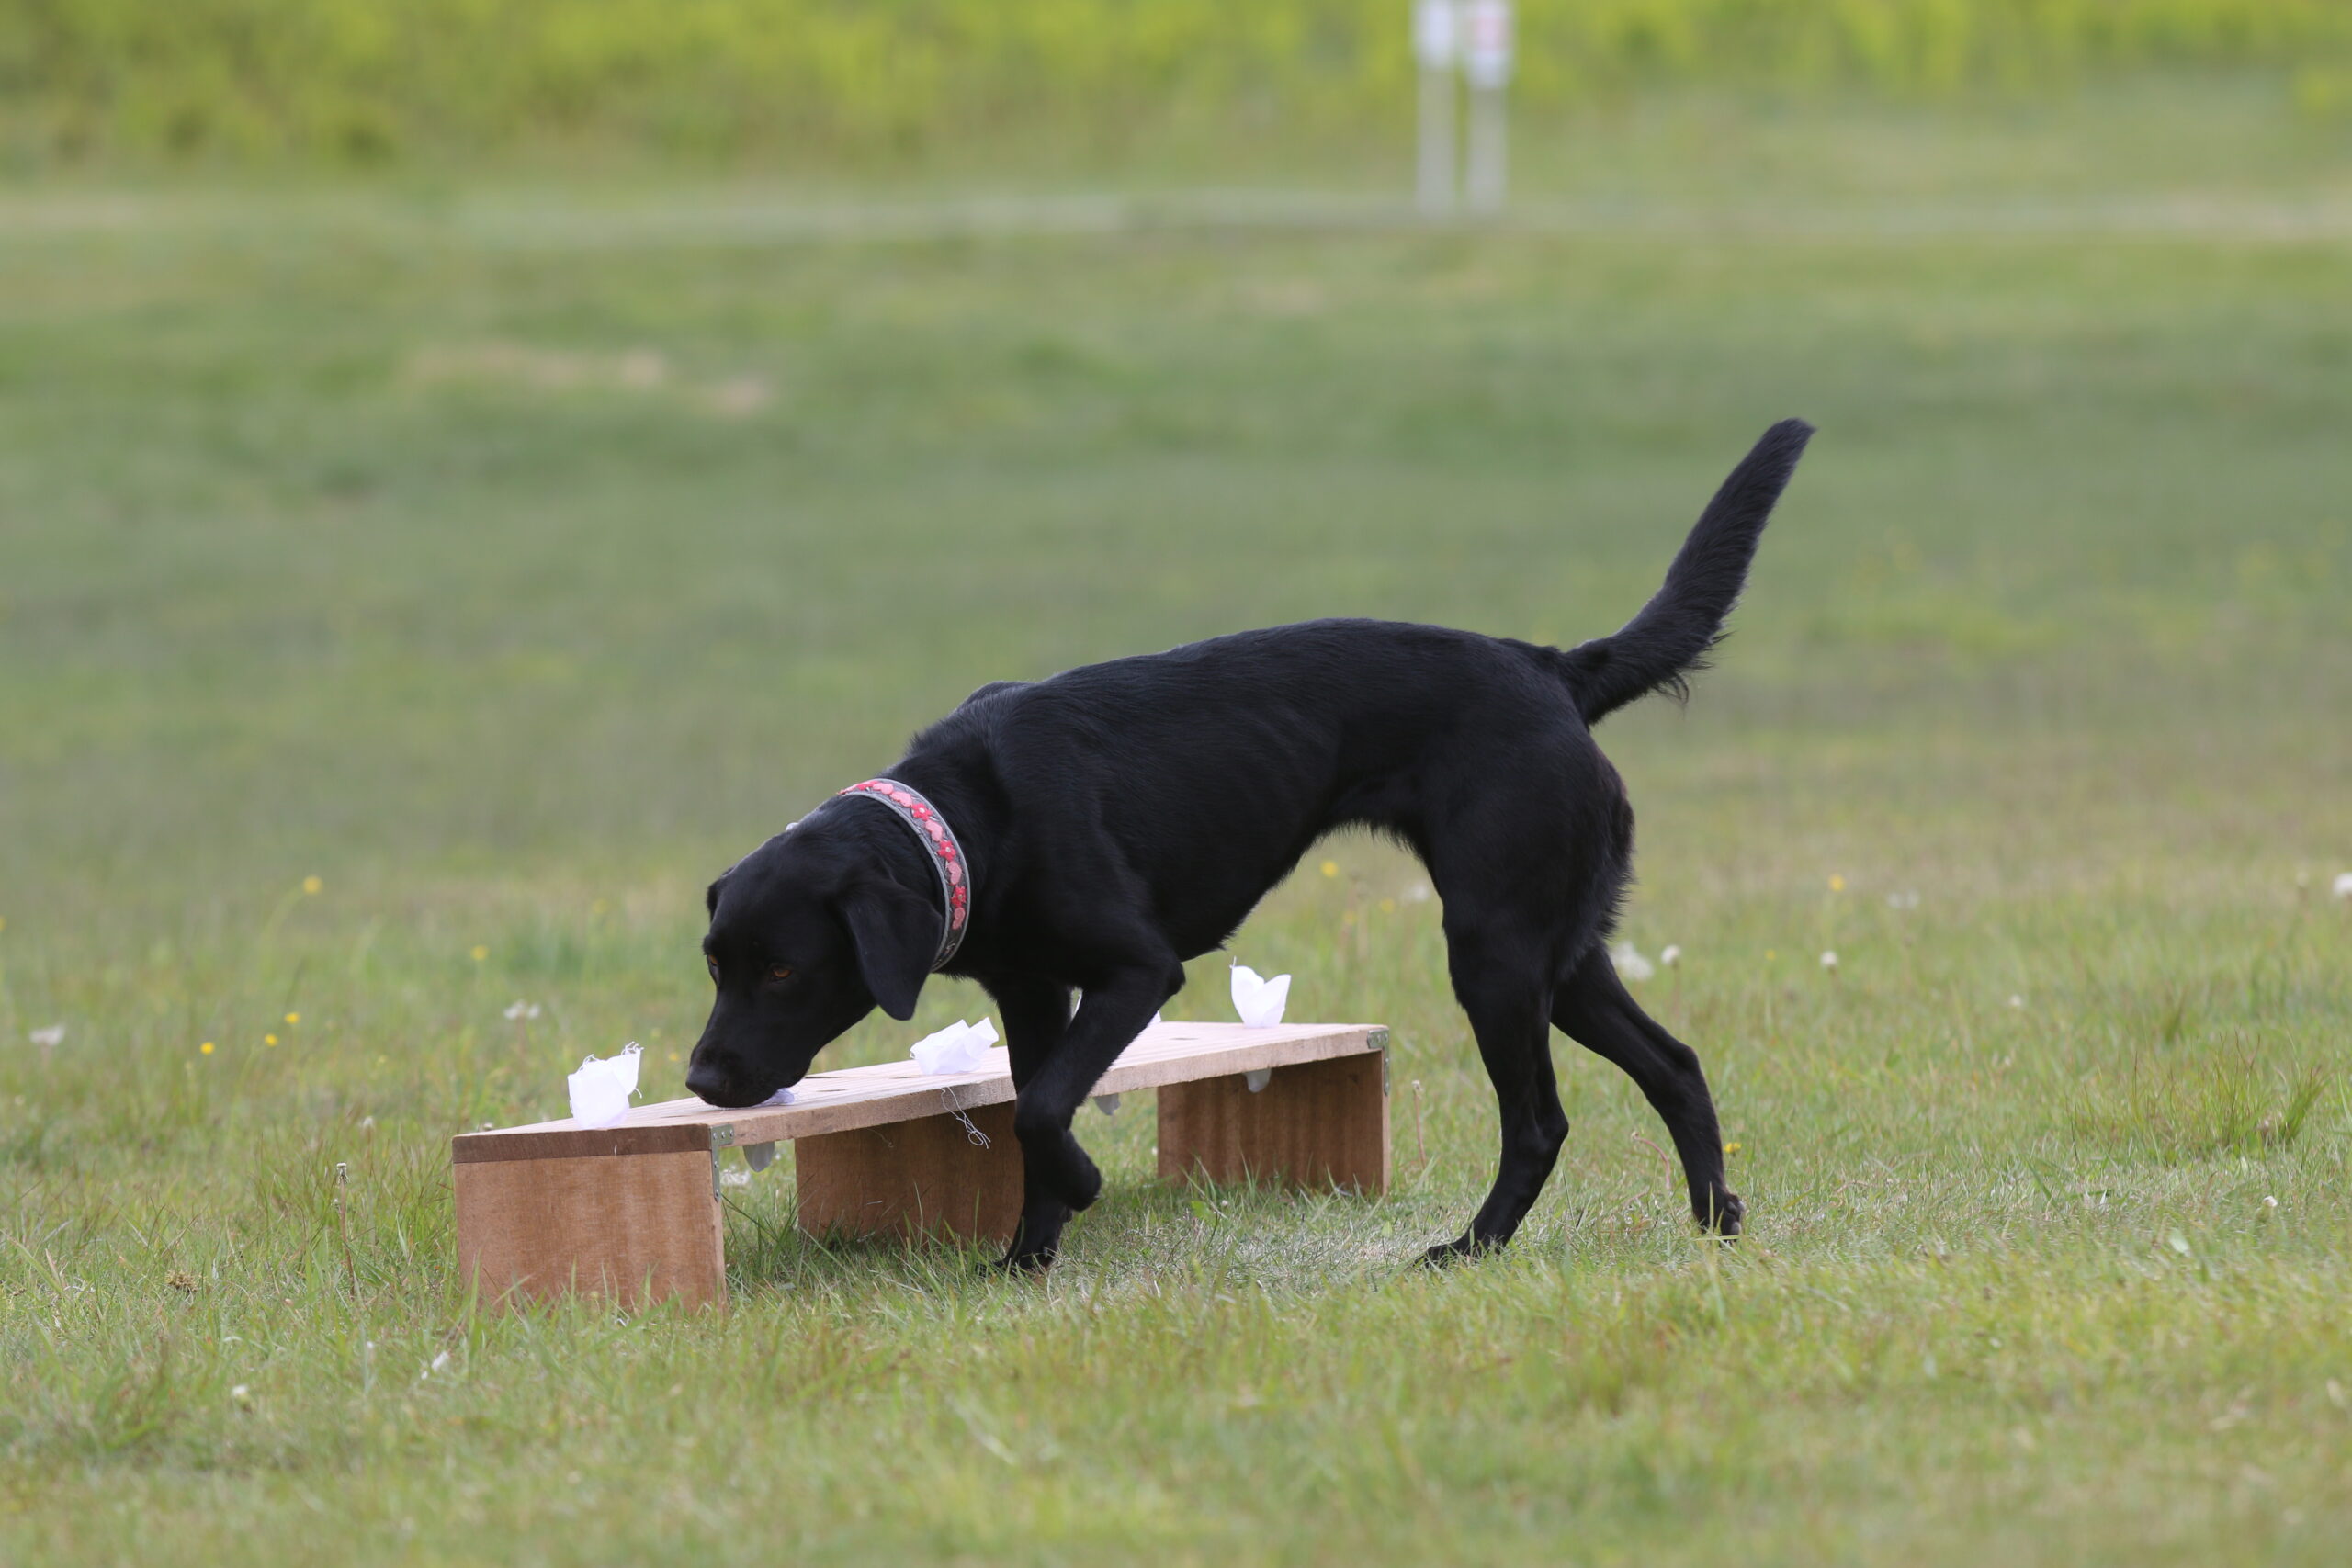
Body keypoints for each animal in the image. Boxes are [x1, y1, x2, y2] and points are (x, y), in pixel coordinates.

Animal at [686, 421, 1806, 1279]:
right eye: (714, 965)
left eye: (783, 969)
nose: (698, 1080)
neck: (968, 821)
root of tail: (1552, 670)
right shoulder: (1034, 991)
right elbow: (1030, 1109)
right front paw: (1026, 1258)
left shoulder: (1138, 971)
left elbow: (1041, 1110)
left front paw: (1082, 1187)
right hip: (1558, 951)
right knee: (1672, 1062)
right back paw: (1714, 1223)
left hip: (1493, 948)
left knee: (1539, 1121)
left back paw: (1470, 1248)